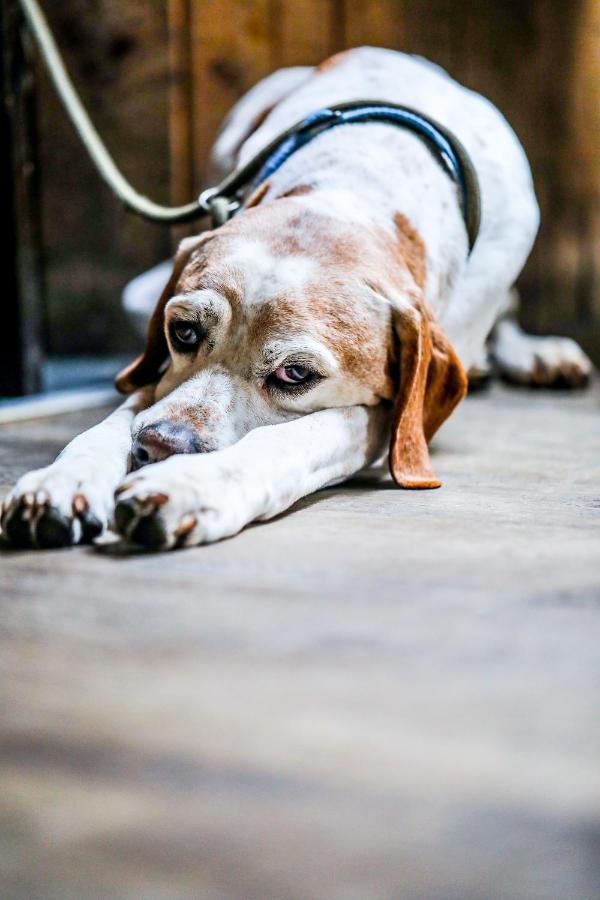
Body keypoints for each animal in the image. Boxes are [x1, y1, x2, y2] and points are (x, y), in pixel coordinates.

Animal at [1, 49, 592, 552]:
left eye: (295, 375)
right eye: (183, 332)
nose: (158, 447)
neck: (359, 182)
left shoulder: (385, 415)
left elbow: (294, 440)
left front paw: (189, 485)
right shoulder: (159, 373)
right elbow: (118, 415)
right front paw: (64, 478)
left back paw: (535, 354)